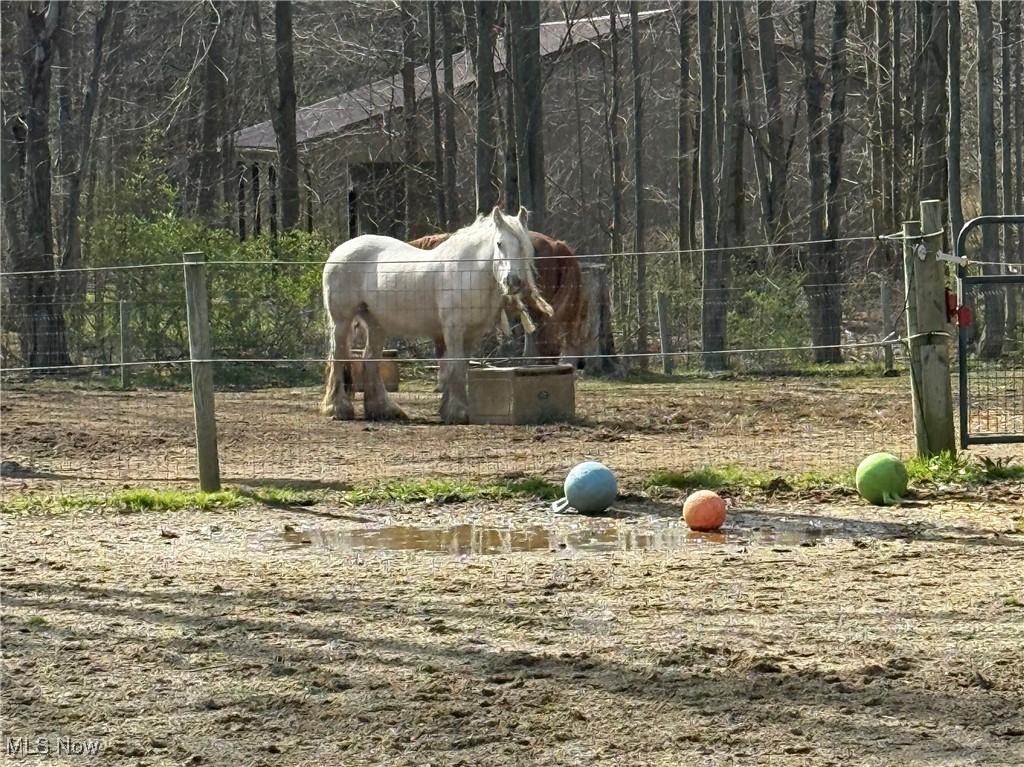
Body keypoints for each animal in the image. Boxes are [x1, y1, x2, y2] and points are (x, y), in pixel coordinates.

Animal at [321, 206, 552, 424]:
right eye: (499, 244)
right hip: (341, 322)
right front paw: (459, 412)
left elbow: (461, 366)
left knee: (370, 360)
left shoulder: (472, 333)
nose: (513, 282)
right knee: (338, 357)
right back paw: (338, 408)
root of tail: (340, 250)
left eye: (524, 247)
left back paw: (384, 410)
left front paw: (448, 409)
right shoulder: (453, 329)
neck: (468, 272)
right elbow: (456, 366)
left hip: (376, 324)